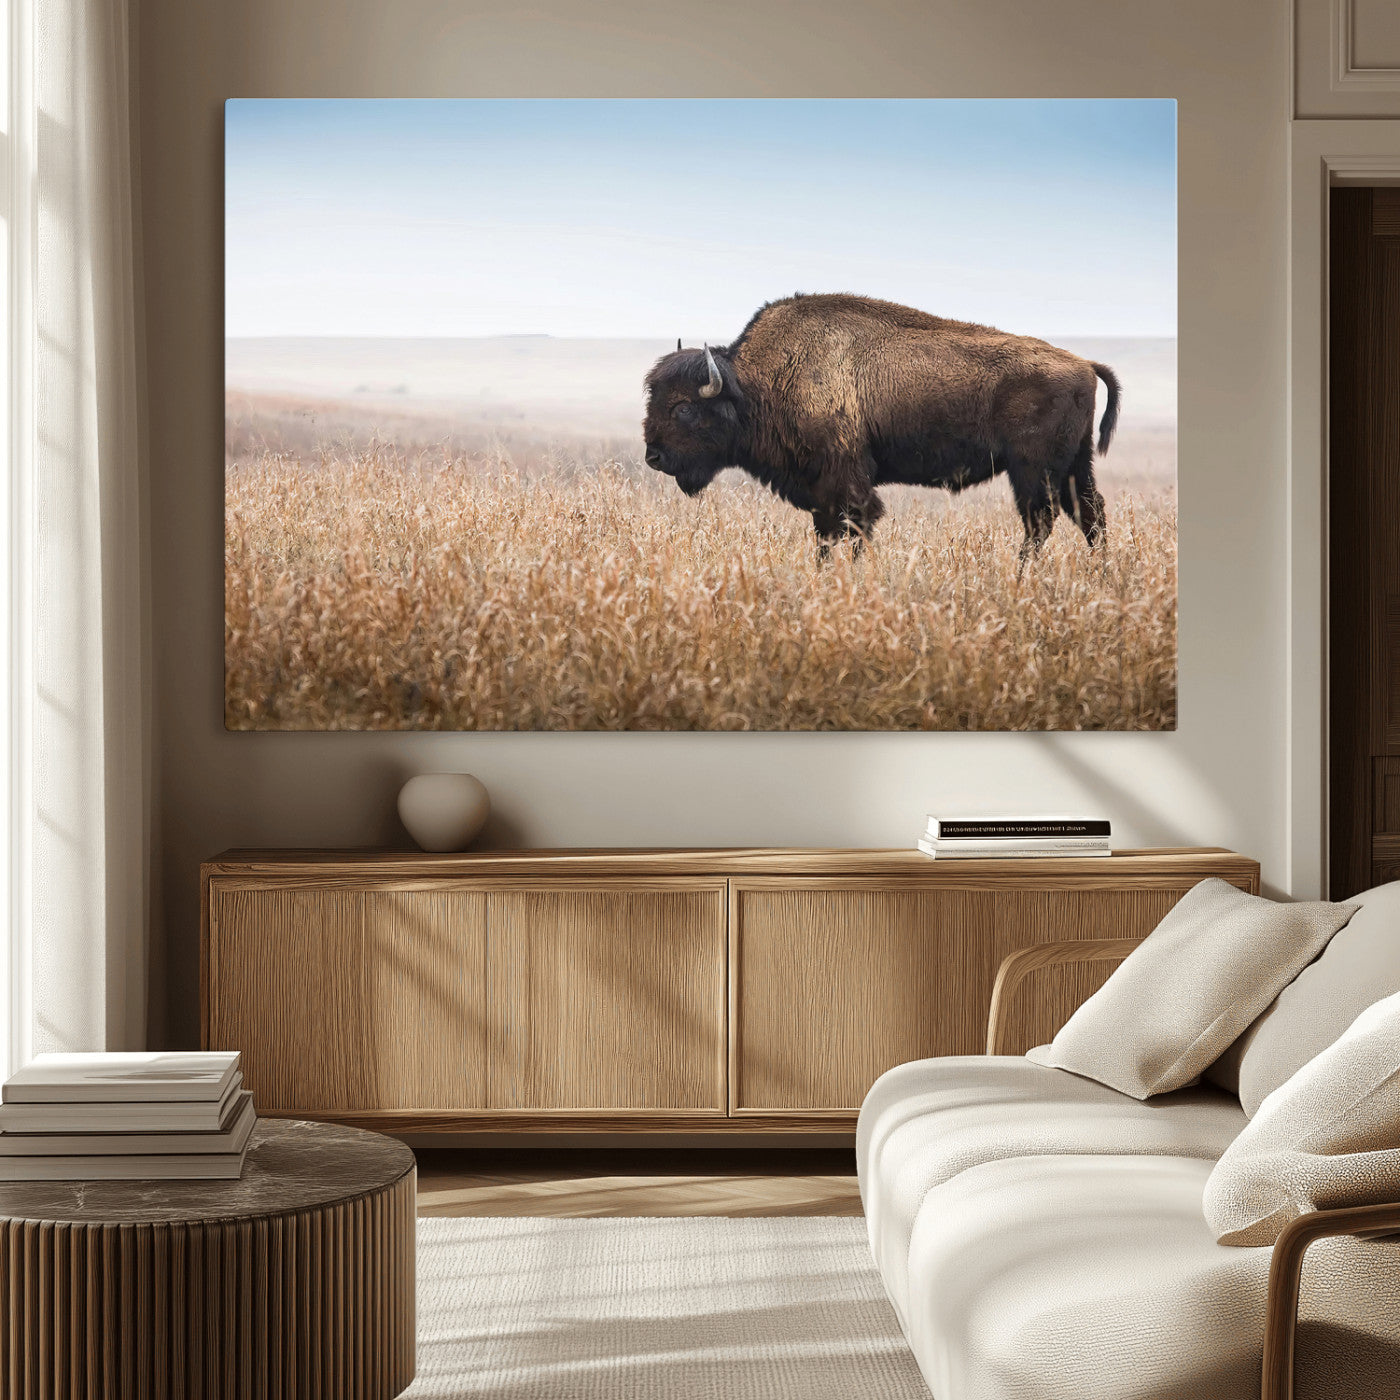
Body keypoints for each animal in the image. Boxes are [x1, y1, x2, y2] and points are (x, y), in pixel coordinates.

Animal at [643, 293, 1119, 560]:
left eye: (684, 408)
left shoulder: (846, 484)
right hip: (1075, 466)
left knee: (1041, 521)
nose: (653, 456)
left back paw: (1022, 576)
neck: (756, 383)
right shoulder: (821, 493)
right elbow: (827, 537)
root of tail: (1084, 363)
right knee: (1090, 516)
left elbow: (854, 529)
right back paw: (1100, 576)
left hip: (1033, 470)